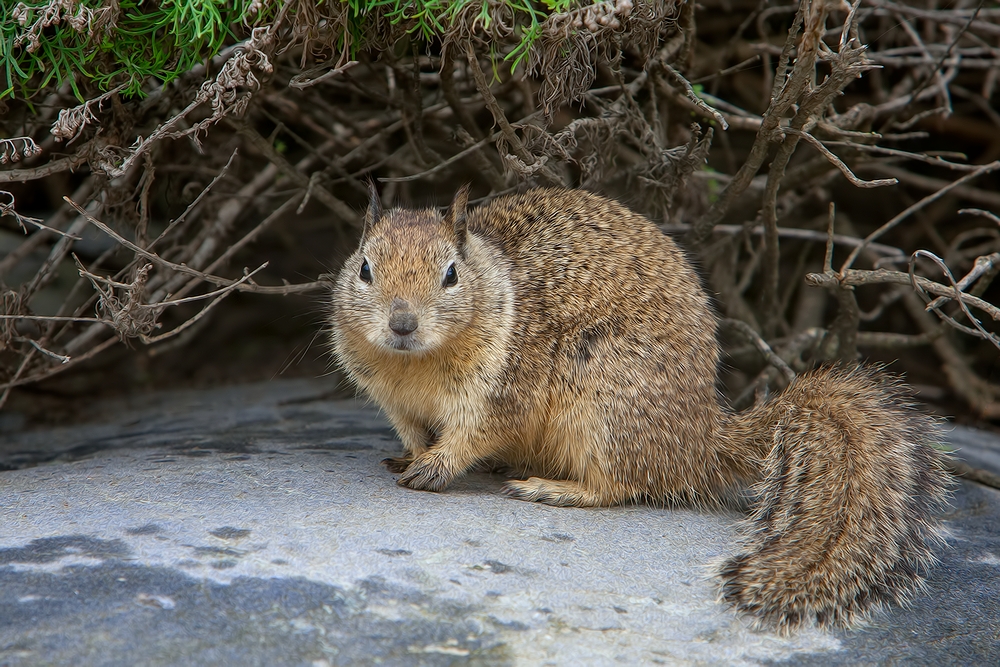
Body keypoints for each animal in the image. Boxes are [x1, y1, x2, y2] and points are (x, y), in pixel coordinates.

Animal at [330, 185, 952, 636]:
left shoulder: (504, 392)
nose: (402, 322)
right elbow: (413, 432)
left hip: (605, 407)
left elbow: (472, 436)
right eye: (363, 268)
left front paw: (436, 467)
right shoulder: (394, 402)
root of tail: (702, 437)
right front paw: (410, 457)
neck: (415, 365)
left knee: (620, 485)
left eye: (451, 274)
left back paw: (554, 489)